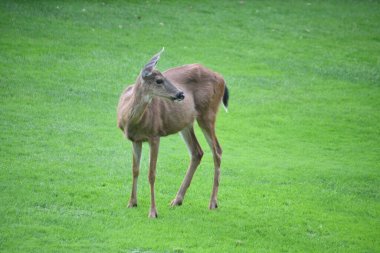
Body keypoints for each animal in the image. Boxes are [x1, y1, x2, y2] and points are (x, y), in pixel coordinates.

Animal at [116, 48, 229, 218]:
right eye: (158, 80)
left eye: (164, 77)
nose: (180, 94)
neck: (131, 121)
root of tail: (221, 77)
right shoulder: (135, 140)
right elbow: (135, 170)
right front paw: (131, 203)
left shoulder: (154, 135)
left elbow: (151, 174)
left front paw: (153, 212)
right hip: (185, 123)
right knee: (197, 152)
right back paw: (177, 200)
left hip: (207, 113)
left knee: (217, 150)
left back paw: (212, 203)